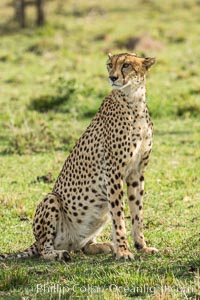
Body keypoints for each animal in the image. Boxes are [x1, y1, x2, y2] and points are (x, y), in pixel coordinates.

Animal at [0, 52, 159, 262]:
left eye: (126, 65)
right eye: (110, 64)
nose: (112, 77)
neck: (134, 100)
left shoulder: (136, 171)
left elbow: (137, 212)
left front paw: (142, 247)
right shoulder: (113, 172)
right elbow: (119, 215)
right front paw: (124, 251)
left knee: (83, 246)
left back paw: (101, 246)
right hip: (51, 199)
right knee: (43, 250)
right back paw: (60, 254)